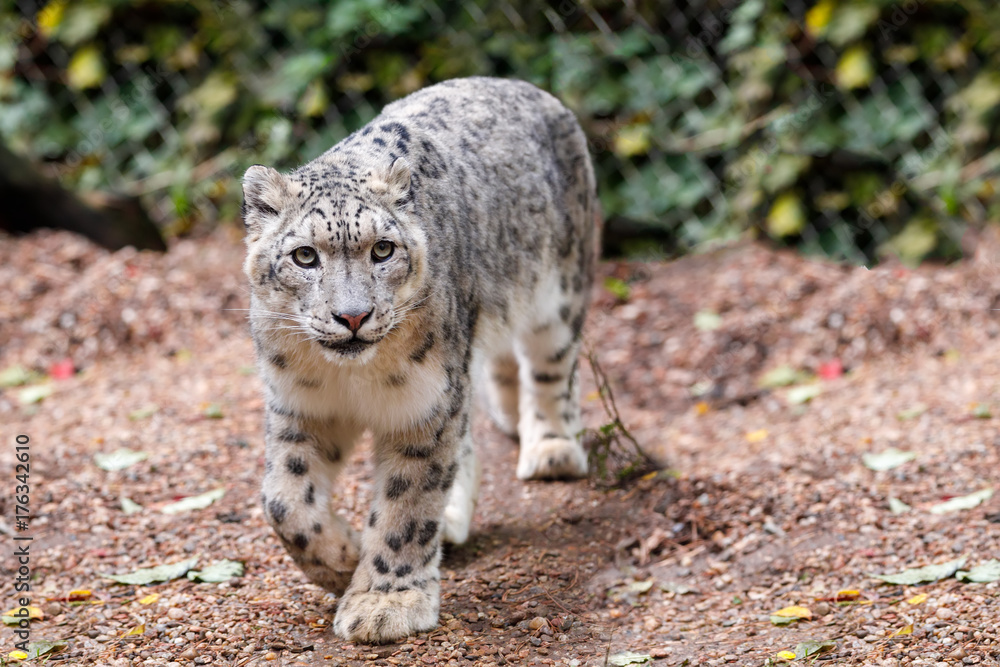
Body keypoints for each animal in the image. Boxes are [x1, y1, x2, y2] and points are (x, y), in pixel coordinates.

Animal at [241, 76, 598, 644]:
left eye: (383, 249)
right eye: (304, 256)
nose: (353, 316)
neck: (352, 379)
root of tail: (520, 85)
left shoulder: (422, 407)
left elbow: (407, 505)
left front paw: (385, 603)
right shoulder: (301, 405)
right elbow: (284, 500)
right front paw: (342, 558)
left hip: (558, 293)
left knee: (551, 371)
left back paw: (552, 450)